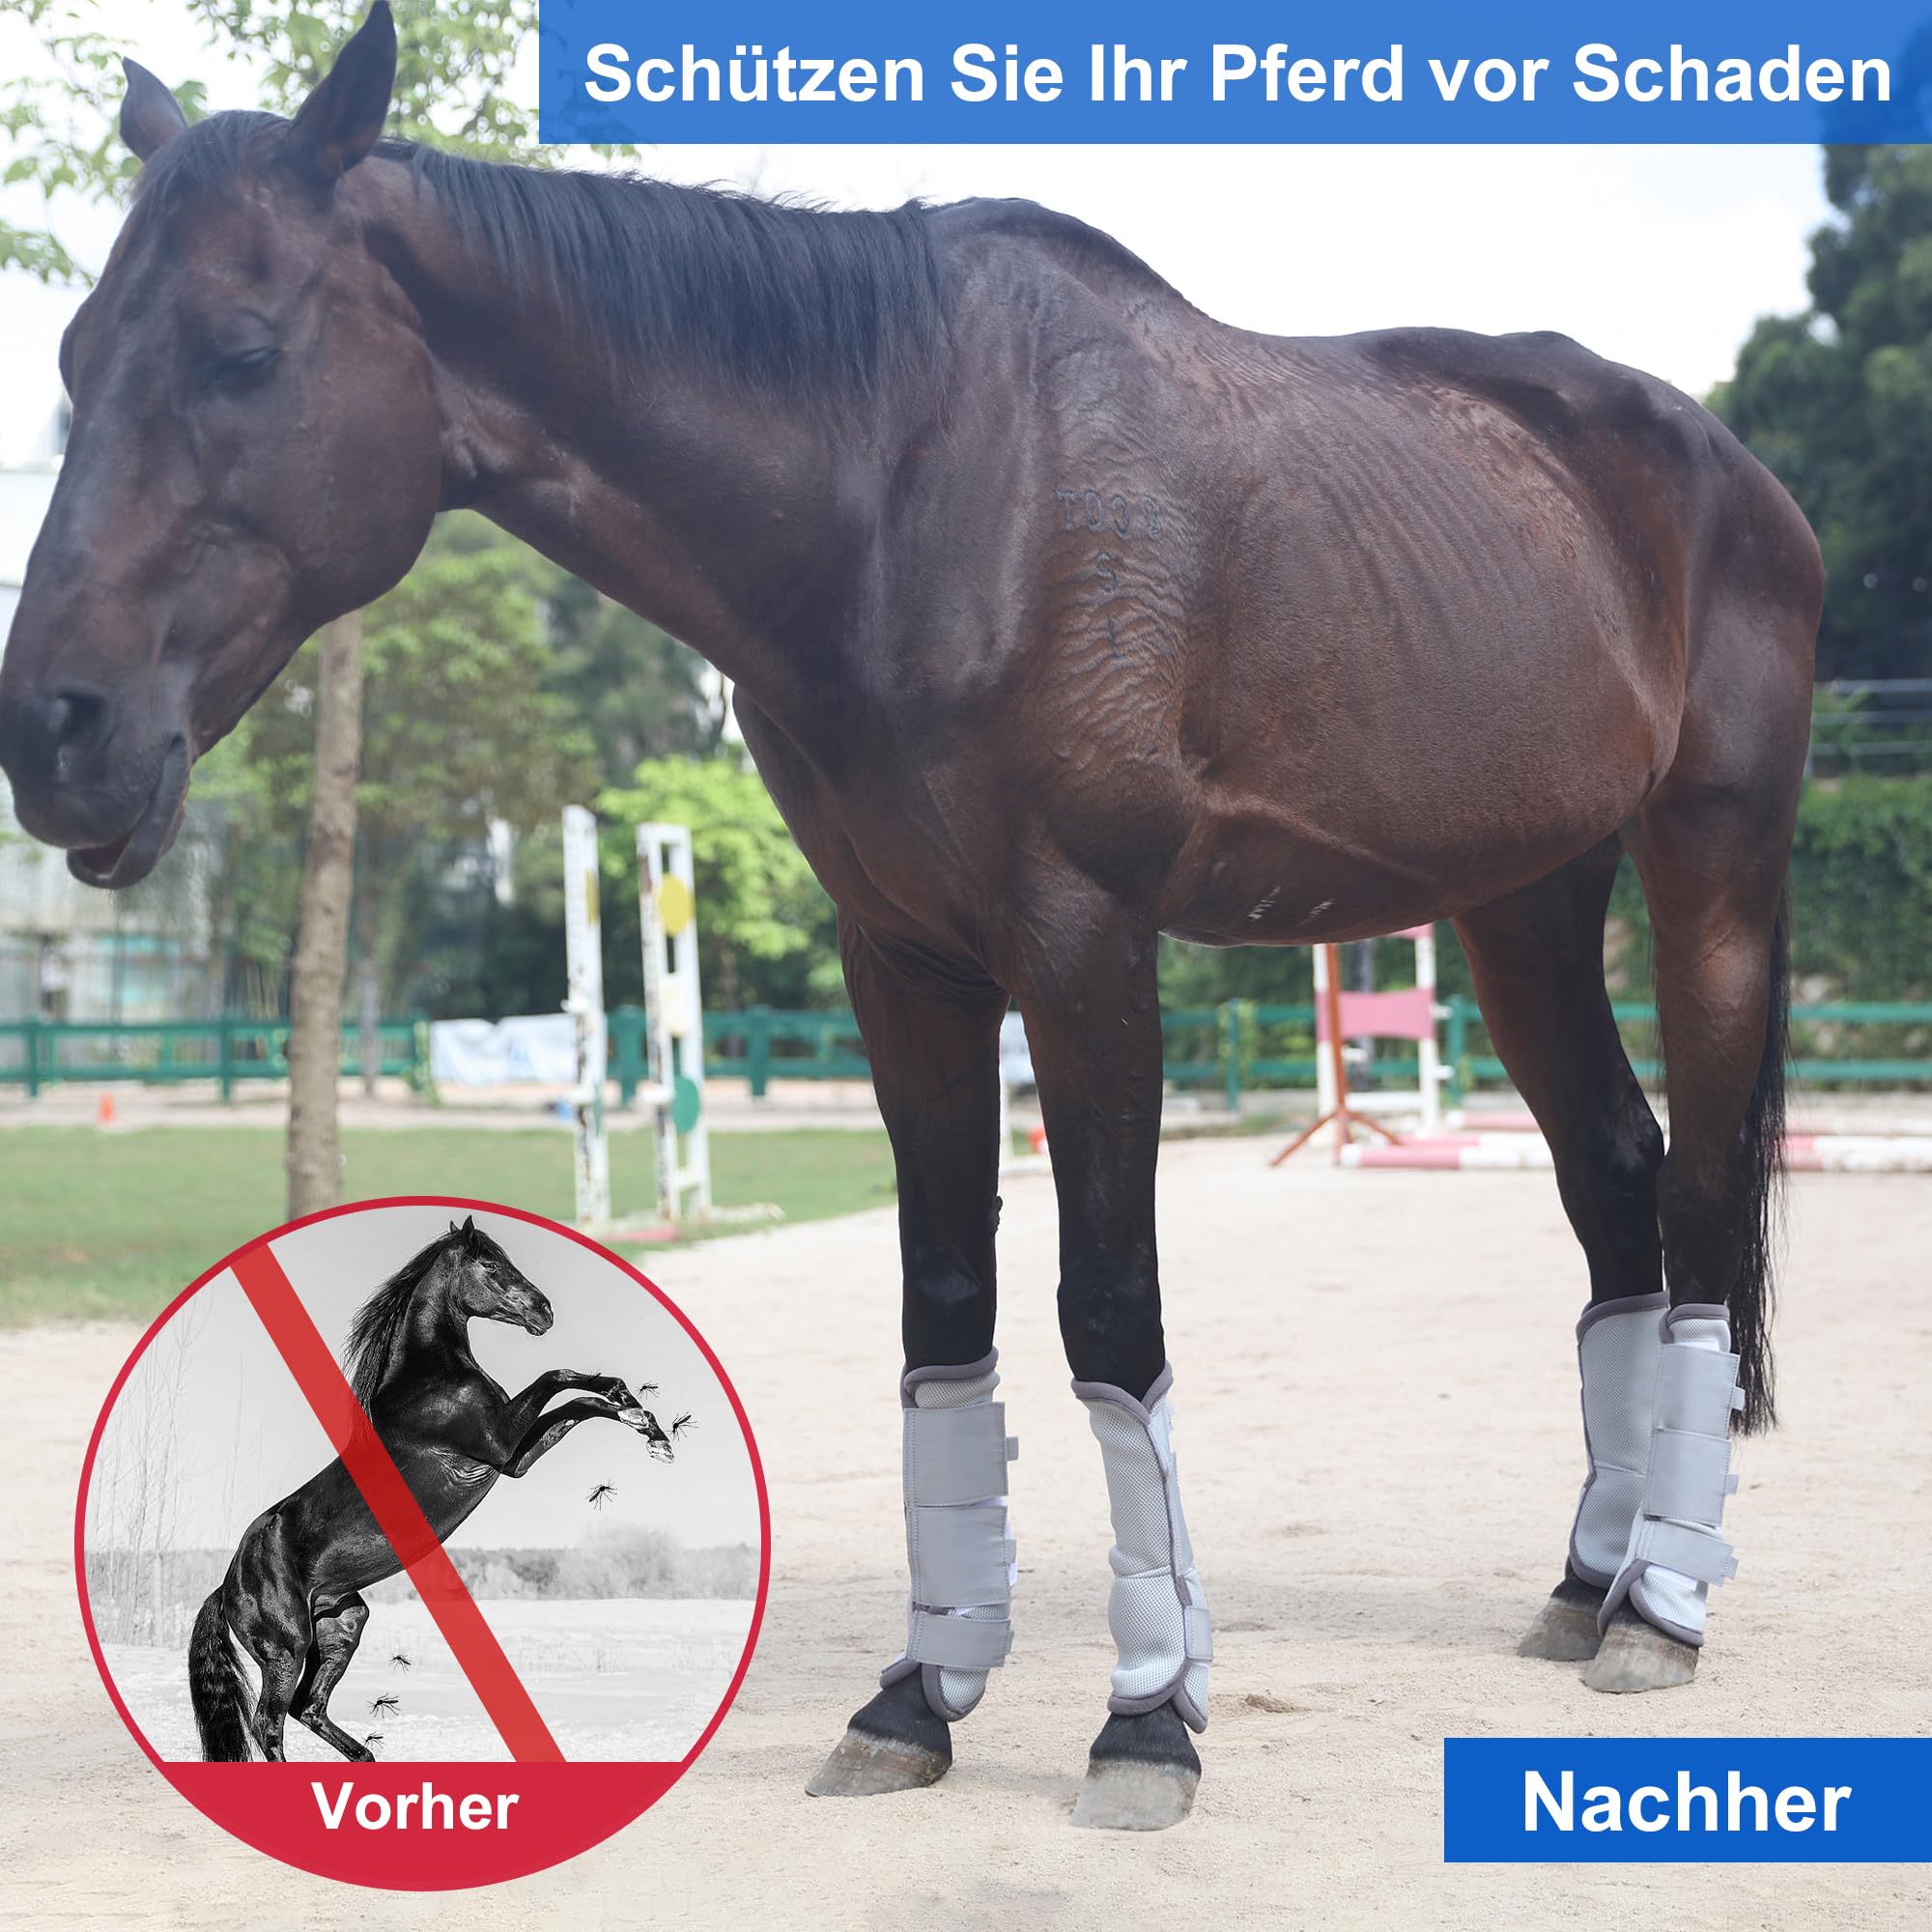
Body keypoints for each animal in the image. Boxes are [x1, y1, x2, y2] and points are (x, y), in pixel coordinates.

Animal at [185, 1215, 675, 1761]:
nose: (544, 1312)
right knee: (268, 1723)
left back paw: (367, 1758)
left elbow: (579, 1404)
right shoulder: (500, 1440)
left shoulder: (514, 1460)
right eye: (490, 1263)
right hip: (286, 1647)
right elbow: (557, 1376)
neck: (428, 1381)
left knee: (308, 1707)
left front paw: (648, 1426)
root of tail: (226, 1588)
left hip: (341, 1625)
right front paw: (636, 1411)